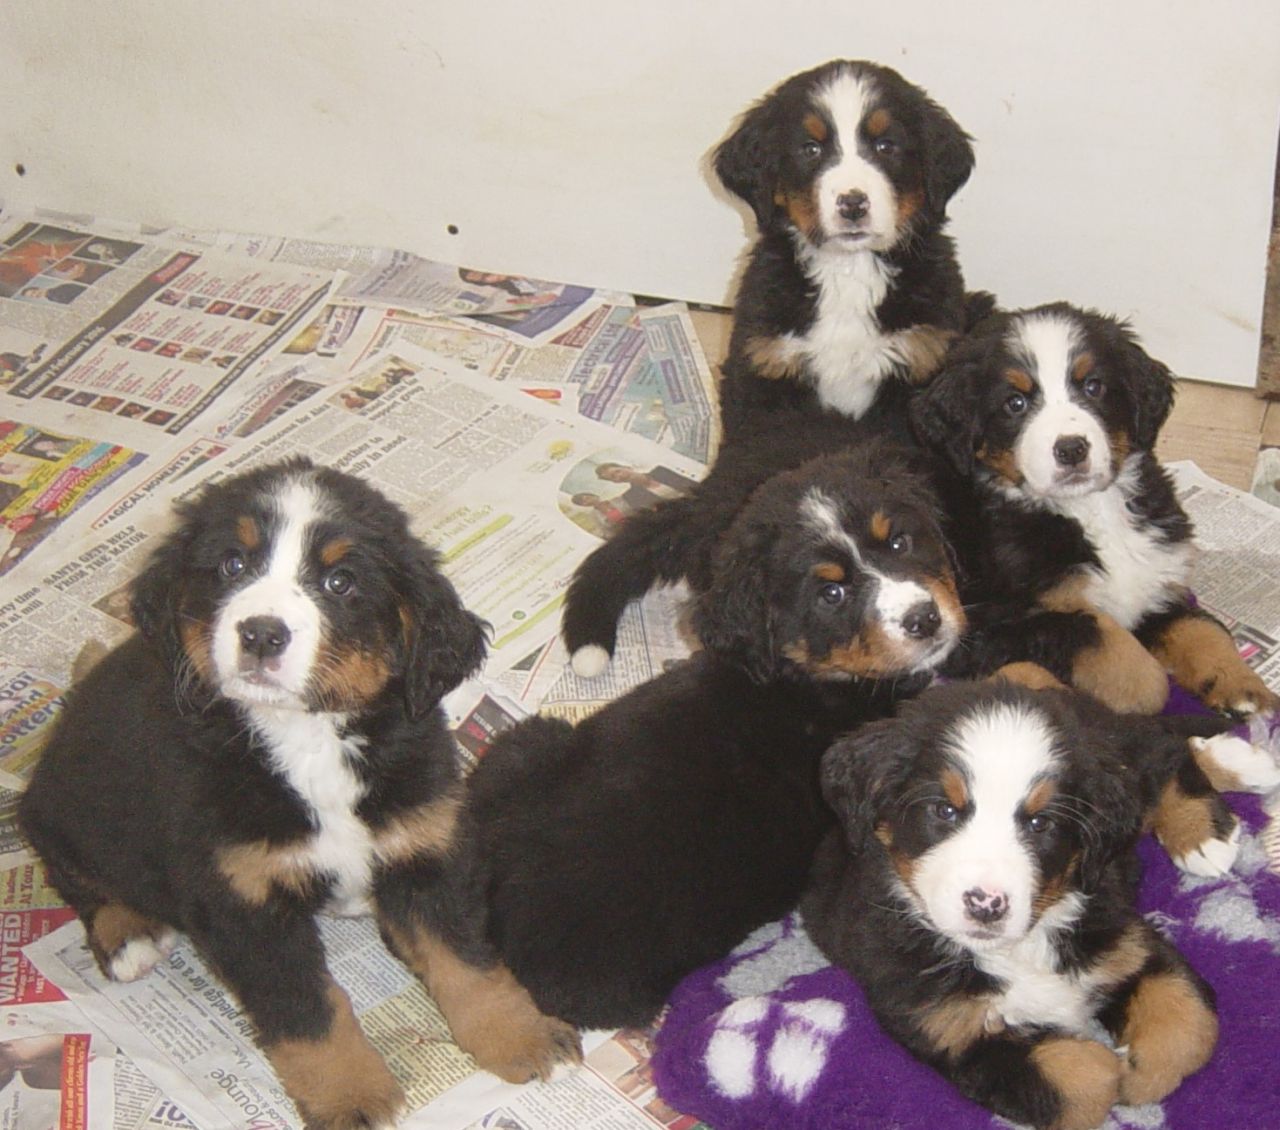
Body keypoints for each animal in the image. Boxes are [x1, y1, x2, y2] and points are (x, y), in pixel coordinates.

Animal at [18, 460, 581, 1130]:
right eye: (233, 565)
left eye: (340, 582)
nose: (262, 633)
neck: (308, 737)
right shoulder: (244, 901)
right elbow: (308, 1012)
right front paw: (350, 1097)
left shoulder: (426, 845)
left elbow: (466, 960)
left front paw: (522, 1035)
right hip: (68, 813)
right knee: (79, 878)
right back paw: (127, 934)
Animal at [468, 445, 962, 1034]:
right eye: (831, 593)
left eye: (900, 542)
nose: (924, 619)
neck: (803, 678)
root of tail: (505, 927)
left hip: (521, 745)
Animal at [711, 56, 977, 437]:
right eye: (811, 149)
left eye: (886, 146)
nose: (853, 203)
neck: (849, 270)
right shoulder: (766, 364)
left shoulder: (921, 358)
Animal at [798, 680, 1239, 1130]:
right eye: (944, 811)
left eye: (1040, 823)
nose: (986, 904)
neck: (1020, 948)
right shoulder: (949, 1029)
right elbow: (1081, 1079)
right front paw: (1117, 1070)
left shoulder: (1125, 940)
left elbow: (1189, 1017)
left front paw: (1140, 1074)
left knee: (1163, 746)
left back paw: (1204, 831)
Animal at [911, 300, 1280, 721]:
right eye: (1015, 403)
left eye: (1093, 386)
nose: (1071, 448)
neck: (1091, 508)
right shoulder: (990, 625)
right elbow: (1105, 639)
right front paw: (1137, 698)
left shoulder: (1160, 584)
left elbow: (1203, 628)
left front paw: (1241, 685)